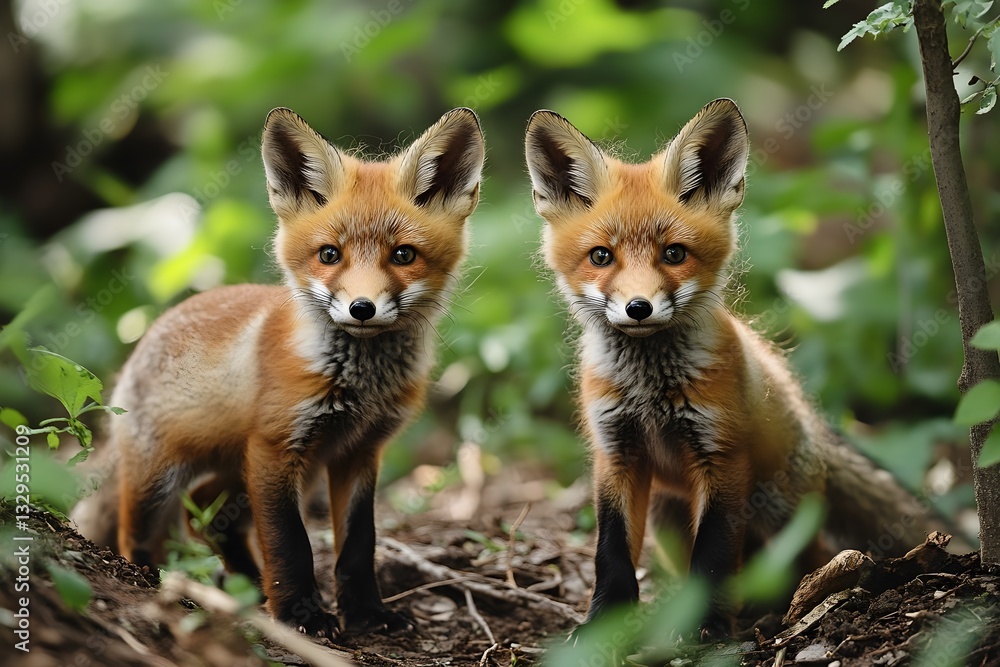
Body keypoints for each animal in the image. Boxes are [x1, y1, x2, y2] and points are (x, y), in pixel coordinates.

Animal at [72, 106, 485, 637]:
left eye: (403, 255)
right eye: (329, 254)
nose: (362, 308)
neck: (361, 383)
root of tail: (144, 341)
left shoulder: (358, 452)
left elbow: (359, 543)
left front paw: (366, 614)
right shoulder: (275, 447)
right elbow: (291, 544)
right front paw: (300, 615)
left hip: (257, 473)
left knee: (206, 516)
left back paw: (246, 585)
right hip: (163, 477)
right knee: (140, 532)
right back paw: (157, 577)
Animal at [524, 99, 931, 639]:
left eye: (674, 253)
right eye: (601, 257)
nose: (638, 308)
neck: (650, 391)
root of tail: (814, 433)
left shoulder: (722, 456)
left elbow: (714, 555)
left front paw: (708, 630)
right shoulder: (616, 454)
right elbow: (610, 552)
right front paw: (603, 627)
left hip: (779, 510)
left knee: (810, 557)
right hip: (667, 517)